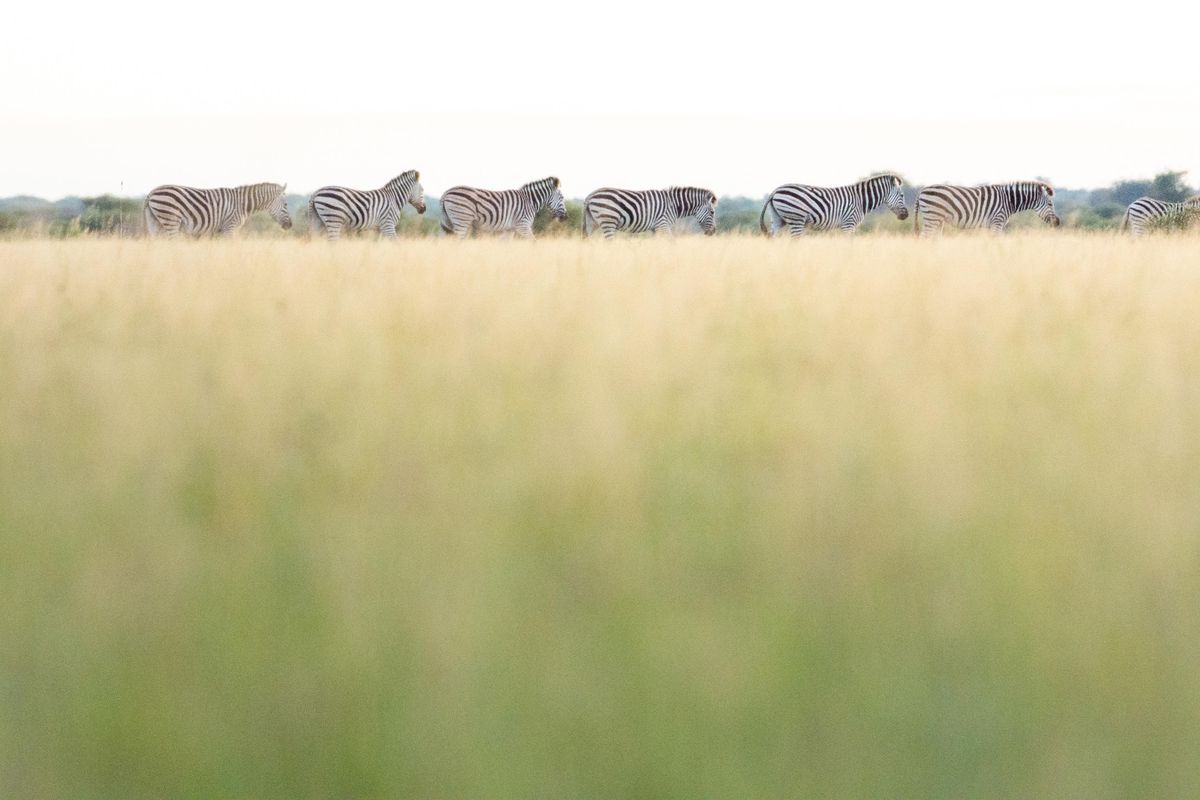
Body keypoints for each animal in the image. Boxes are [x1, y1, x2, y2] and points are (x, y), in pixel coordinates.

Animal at [143, 182, 291, 237]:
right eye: (286, 204)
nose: (290, 225)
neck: (243, 204)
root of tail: (151, 193)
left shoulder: (219, 231)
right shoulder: (230, 227)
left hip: (154, 222)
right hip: (171, 220)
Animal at [581, 187, 718, 238]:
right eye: (712, 212)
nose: (713, 232)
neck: (673, 205)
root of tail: (589, 196)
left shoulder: (656, 228)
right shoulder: (663, 224)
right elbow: (672, 242)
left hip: (592, 222)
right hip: (608, 221)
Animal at [760, 174, 908, 236]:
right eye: (902, 195)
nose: (906, 215)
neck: (861, 201)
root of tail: (775, 190)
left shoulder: (852, 226)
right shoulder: (848, 224)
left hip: (777, 219)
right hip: (796, 219)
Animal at [915, 182, 1060, 236]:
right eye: (1050, 204)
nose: (1057, 223)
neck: (1009, 201)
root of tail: (922, 190)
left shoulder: (994, 225)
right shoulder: (997, 222)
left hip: (938, 220)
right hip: (932, 217)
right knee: (924, 237)